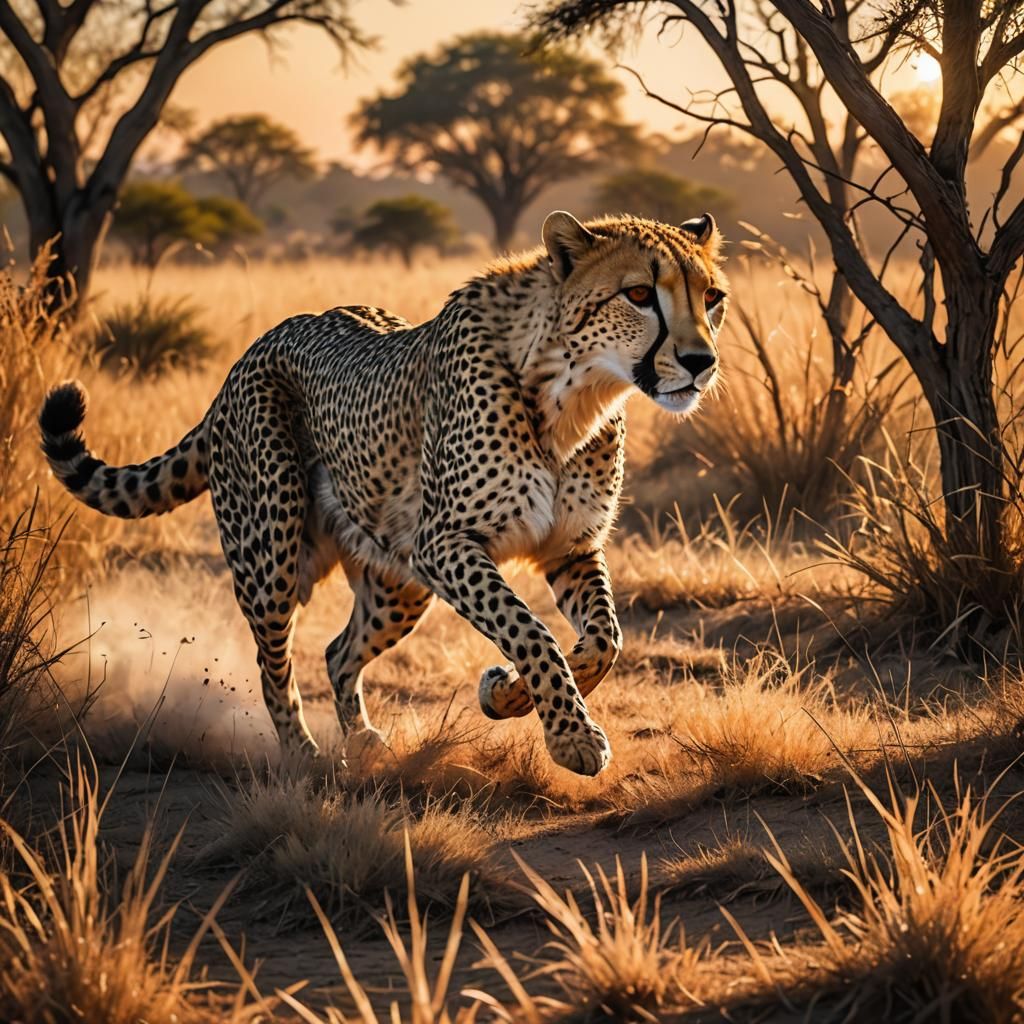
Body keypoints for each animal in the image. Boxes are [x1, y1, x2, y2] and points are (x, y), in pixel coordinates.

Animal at [39, 211, 728, 776]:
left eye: (712, 297)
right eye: (638, 294)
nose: (701, 362)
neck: (574, 391)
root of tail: (252, 350)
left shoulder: (570, 547)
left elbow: (603, 640)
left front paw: (505, 693)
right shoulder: (445, 543)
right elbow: (533, 633)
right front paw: (572, 738)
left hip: (398, 579)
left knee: (338, 651)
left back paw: (364, 740)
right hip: (273, 556)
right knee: (273, 661)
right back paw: (304, 757)